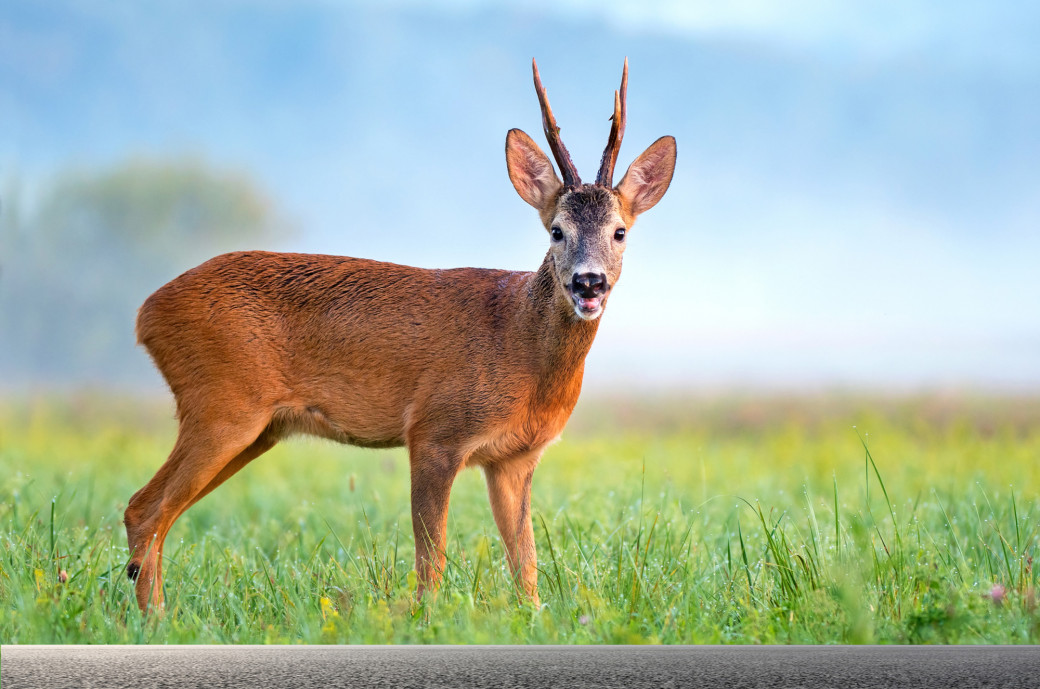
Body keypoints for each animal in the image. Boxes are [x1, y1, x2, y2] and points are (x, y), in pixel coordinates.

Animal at [125, 56, 678, 611]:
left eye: (620, 231)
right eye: (556, 231)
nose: (589, 281)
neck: (519, 343)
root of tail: (146, 313)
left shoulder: (515, 457)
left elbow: (526, 566)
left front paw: (530, 614)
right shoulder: (435, 430)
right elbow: (431, 560)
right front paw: (428, 618)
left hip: (258, 427)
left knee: (154, 513)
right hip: (222, 405)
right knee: (143, 507)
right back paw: (156, 619)